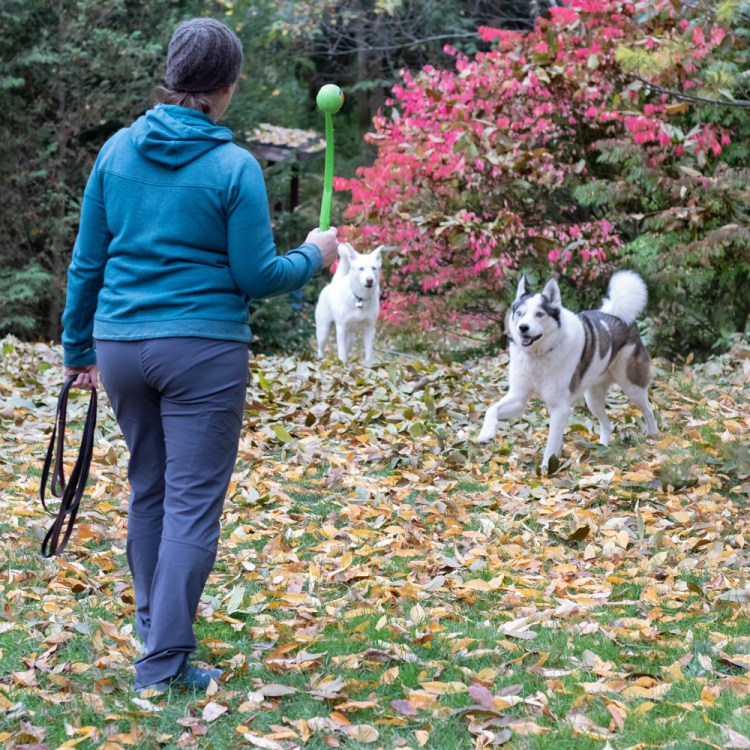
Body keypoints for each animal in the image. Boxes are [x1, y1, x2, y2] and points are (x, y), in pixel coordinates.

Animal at [477, 270, 658, 468]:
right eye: (519, 313)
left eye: (539, 314)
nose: (523, 328)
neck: (539, 354)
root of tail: (616, 314)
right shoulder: (518, 399)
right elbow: (491, 409)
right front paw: (486, 434)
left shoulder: (559, 408)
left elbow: (551, 443)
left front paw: (546, 469)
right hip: (592, 398)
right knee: (607, 423)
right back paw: (602, 446)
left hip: (632, 386)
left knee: (648, 409)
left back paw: (653, 436)